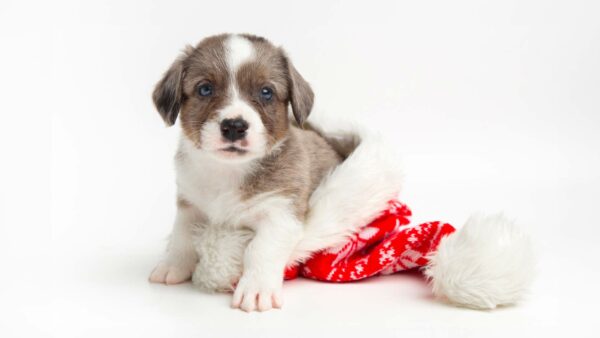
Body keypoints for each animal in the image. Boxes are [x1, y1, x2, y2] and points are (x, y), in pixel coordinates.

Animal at [149, 33, 342, 312]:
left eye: (266, 92)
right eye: (205, 89)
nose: (234, 126)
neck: (228, 171)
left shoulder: (280, 213)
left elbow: (260, 248)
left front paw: (257, 288)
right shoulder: (189, 204)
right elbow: (181, 237)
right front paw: (173, 265)